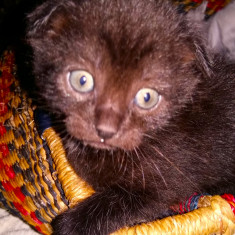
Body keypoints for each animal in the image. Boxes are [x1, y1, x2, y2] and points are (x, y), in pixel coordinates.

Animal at [26, 0, 234, 234]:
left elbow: (120, 204)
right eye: (81, 80)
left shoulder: (167, 184)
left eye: (147, 97)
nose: (105, 130)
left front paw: (68, 225)